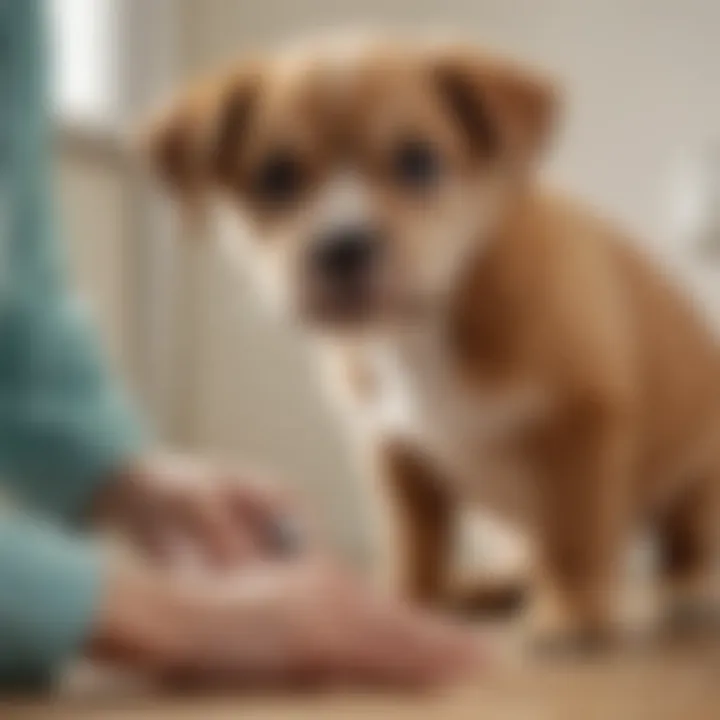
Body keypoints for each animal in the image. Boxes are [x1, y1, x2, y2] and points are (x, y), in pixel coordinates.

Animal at [143, 36, 720, 648]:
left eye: (418, 161)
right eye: (276, 176)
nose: (343, 244)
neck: (420, 325)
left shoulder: (581, 423)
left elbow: (575, 533)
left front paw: (573, 613)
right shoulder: (394, 451)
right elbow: (414, 542)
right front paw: (406, 603)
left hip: (697, 484)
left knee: (686, 539)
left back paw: (685, 589)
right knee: (522, 554)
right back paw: (488, 586)